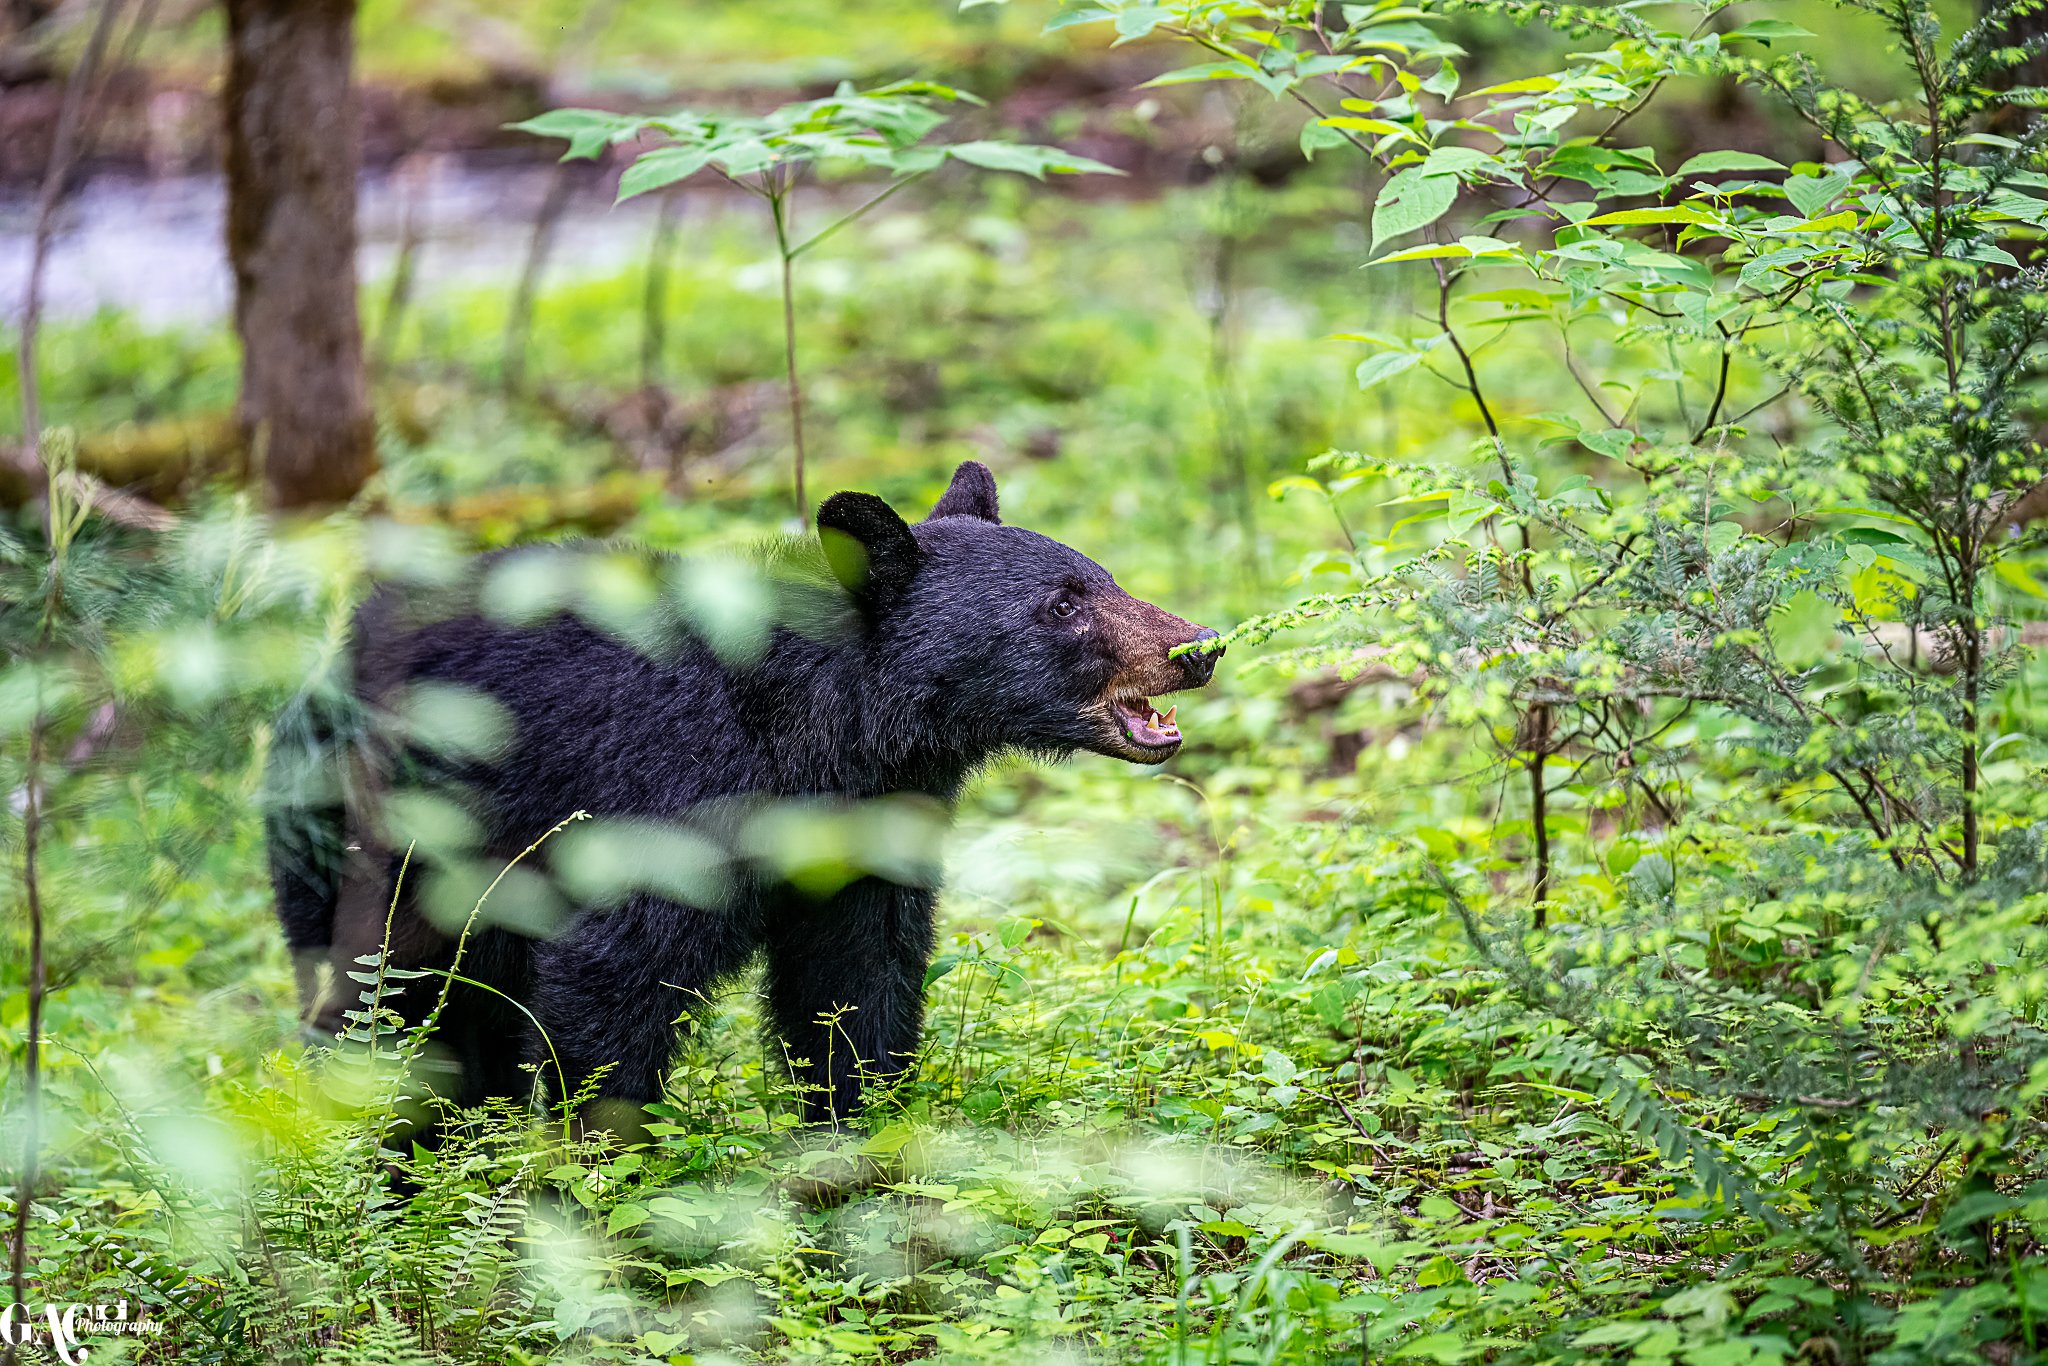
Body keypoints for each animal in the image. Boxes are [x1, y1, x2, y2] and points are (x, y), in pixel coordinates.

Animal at [266, 461, 1220, 1128]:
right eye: (1062, 605)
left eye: (1102, 576)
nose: (1200, 645)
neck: (812, 735)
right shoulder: (666, 793)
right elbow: (612, 983)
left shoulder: (862, 832)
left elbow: (858, 985)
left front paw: (853, 1145)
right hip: (372, 844)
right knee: (382, 1010)